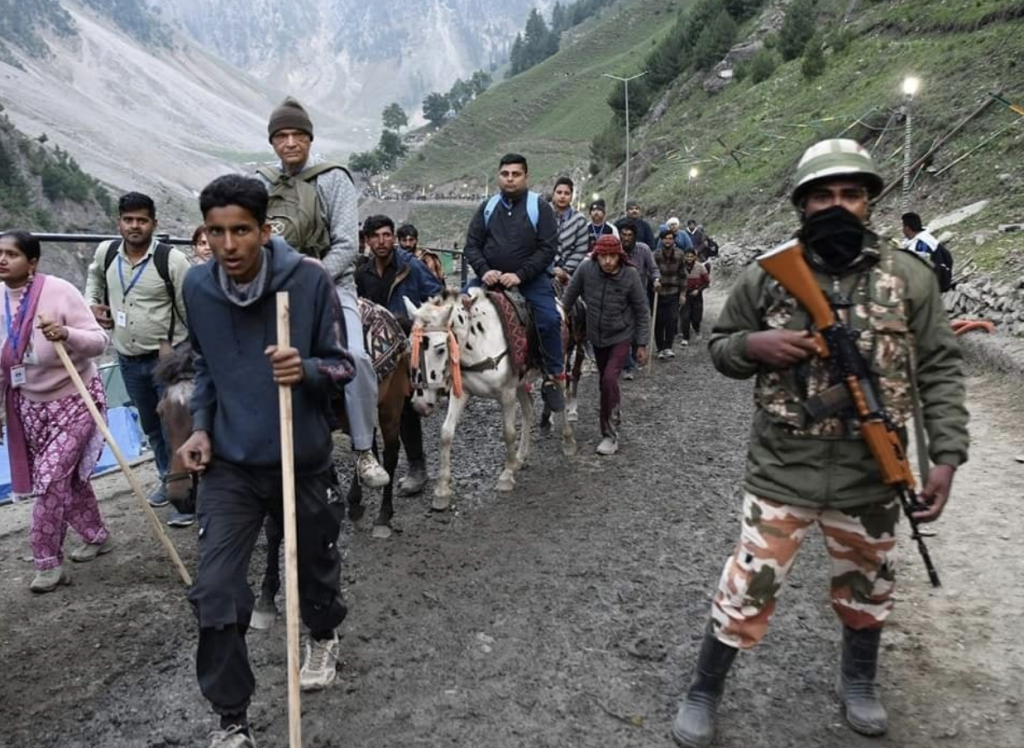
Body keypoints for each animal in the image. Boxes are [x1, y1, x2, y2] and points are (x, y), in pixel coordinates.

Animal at [405, 284, 577, 506]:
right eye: (410, 345)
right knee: (529, 408)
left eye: (440, 348)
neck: (478, 341)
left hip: (558, 366)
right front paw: (442, 490)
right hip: (521, 382)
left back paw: (568, 442)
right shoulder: (461, 392)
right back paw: (521, 456)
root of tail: (559, 303)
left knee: (560, 399)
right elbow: (446, 434)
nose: (420, 404)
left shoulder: (507, 394)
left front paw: (506, 476)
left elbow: (508, 432)